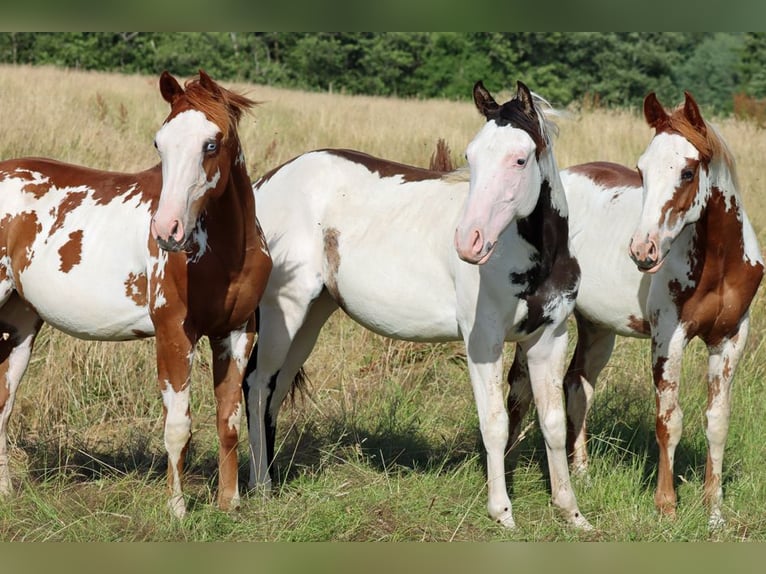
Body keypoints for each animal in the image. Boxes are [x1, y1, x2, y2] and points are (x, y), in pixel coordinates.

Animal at [0, 70, 272, 519]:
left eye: (211, 144)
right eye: (160, 143)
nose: (166, 230)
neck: (226, 251)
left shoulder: (236, 334)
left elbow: (229, 422)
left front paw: (229, 503)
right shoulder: (174, 333)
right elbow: (178, 426)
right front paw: (177, 511)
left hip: (20, 324)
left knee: (3, 403)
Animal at [242, 80, 592, 530]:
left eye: (519, 159)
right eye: (470, 156)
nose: (469, 242)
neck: (534, 255)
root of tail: (265, 183)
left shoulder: (549, 338)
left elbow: (553, 424)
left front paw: (571, 512)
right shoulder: (483, 342)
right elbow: (494, 423)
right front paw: (502, 513)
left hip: (309, 319)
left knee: (275, 389)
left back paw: (271, 480)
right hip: (281, 311)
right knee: (256, 385)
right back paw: (261, 487)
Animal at [507, 90, 764, 528]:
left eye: (688, 173)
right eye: (642, 170)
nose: (643, 251)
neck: (719, 261)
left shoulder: (731, 337)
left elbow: (717, 422)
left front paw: (714, 512)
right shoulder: (669, 337)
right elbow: (669, 420)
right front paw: (667, 505)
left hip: (597, 327)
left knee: (577, 385)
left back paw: (582, 474)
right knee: (518, 391)